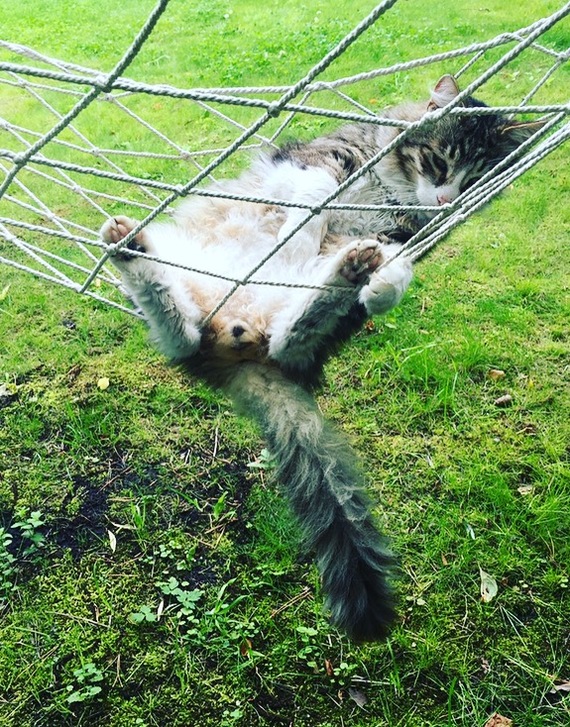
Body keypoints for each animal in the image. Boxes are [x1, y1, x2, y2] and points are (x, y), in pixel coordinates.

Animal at [102, 75, 540, 644]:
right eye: (440, 163)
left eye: (474, 181)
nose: (446, 200)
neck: (393, 187)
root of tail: (239, 339)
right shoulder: (319, 162)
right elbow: (313, 203)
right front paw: (298, 240)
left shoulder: (400, 234)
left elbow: (397, 260)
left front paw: (384, 285)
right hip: (192, 268)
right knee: (179, 326)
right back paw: (133, 247)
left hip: (299, 330)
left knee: (270, 334)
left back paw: (347, 277)